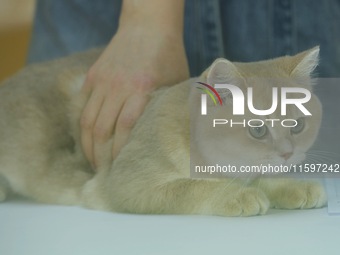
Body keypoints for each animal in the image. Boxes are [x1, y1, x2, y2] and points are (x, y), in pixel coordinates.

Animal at [0, 46, 326, 215]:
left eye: (297, 124)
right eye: (258, 130)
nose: (288, 154)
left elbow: (261, 177)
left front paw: (293, 187)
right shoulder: (128, 184)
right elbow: (192, 187)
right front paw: (236, 195)